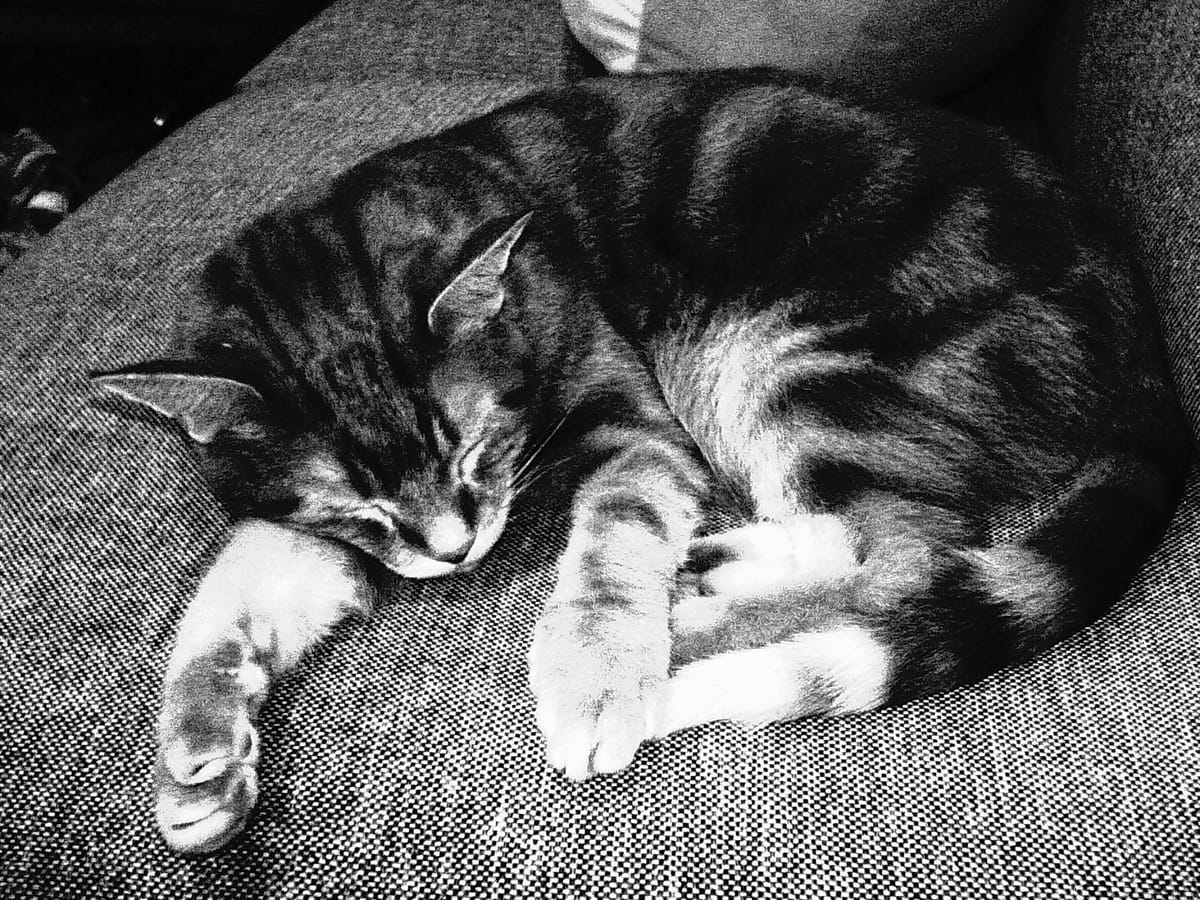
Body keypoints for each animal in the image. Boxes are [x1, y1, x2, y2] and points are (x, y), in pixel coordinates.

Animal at [93, 68, 1190, 854]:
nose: (453, 554)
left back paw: (694, 625)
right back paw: (719, 568)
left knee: (910, 549)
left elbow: (616, 535)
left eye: (474, 445)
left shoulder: (633, 422)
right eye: (354, 508)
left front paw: (597, 669)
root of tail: (1148, 344)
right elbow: (236, 585)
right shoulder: (302, 517)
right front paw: (199, 753)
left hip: (801, 354)